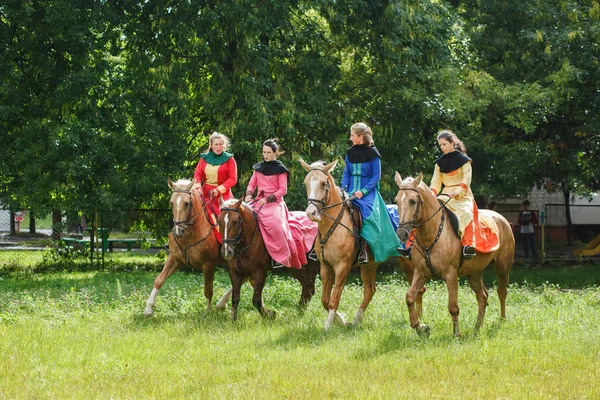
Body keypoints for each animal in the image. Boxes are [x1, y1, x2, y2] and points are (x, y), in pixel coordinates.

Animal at [143, 180, 232, 318]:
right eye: (171, 202)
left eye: (187, 203)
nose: (178, 230)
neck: (189, 235)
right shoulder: (174, 260)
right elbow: (159, 280)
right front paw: (148, 309)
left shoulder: (208, 264)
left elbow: (208, 290)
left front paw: (208, 310)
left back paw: (221, 303)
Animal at [298, 159, 422, 332]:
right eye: (306, 183)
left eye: (323, 183)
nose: (311, 213)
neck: (334, 225)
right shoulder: (325, 267)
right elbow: (324, 299)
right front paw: (341, 321)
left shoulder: (342, 268)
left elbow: (333, 299)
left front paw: (329, 326)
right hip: (369, 265)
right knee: (370, 290)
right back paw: (357, 319)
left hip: (408, 263)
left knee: (418, 289)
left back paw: (419, 319)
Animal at [394, 173, 516, 338]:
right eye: (396, 201)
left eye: (412, 201)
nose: (402, 233)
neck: (431, 233)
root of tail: (502, 219)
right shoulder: (421, 273)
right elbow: (410, 297)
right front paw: (420, 327)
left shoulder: (451, 275)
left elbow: (453, 306)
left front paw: (457, 334)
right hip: (474, 273)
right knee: (482, 296)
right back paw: (477, 326)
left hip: (502, 268)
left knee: (501, 292)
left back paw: (502, 320)